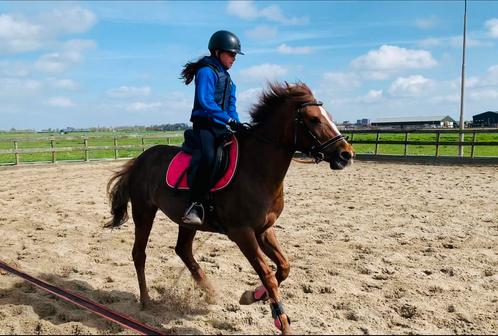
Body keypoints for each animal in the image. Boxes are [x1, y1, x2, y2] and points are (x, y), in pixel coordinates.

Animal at [105, 82, 354, 334]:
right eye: (313, 119)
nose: (346, 154)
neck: (256, 170)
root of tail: (139, 160)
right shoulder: (242, 233)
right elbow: (267, 275)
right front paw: (281, 322)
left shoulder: (264, 229)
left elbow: (284, 267)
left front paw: (253, 295)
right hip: (144, 211)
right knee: (139, 253)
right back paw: (146, 300)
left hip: (186, 221)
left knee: (183, 250)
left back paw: (209, 292)